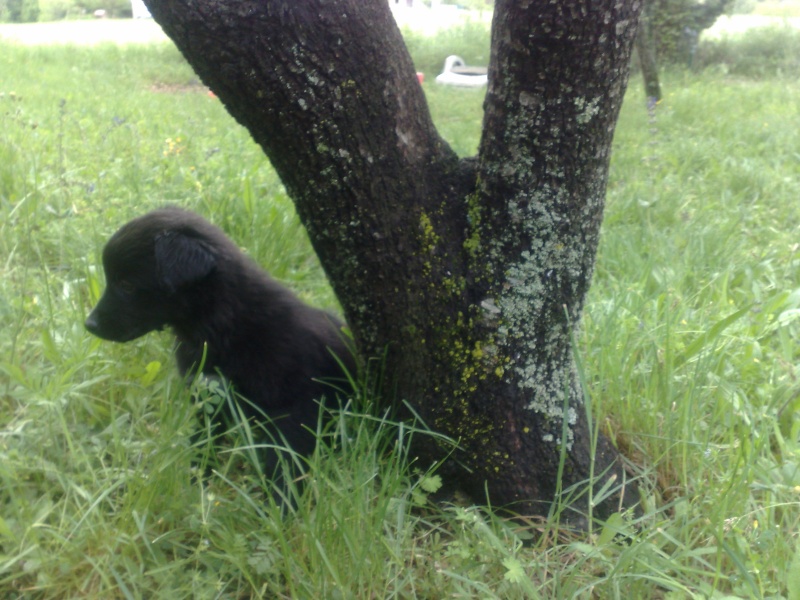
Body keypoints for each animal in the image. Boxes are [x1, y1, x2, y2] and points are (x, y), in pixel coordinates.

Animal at [84, 206, 354, 474]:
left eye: (127, 285)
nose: (89, 324)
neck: (223, 325)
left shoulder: (297, 408)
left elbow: (282, 460)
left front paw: (278, 488)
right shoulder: (207, 395)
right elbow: (203, 442)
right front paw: (196, 476)